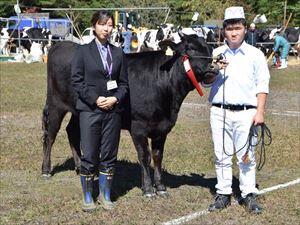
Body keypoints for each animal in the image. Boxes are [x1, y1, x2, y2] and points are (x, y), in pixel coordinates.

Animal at [41, 33, 218, 197]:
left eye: (210, 50)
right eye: (191, 49)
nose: (214, 67)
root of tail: (63, 45)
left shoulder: (162, 128)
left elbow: (158, 156)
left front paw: (160, 187)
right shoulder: (138, 127)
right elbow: (145, 156)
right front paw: (148, 189)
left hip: (78, 111)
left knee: (71, 131)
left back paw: (79, 166)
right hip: (56, 104)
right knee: (50, 136)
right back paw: (46, 170)